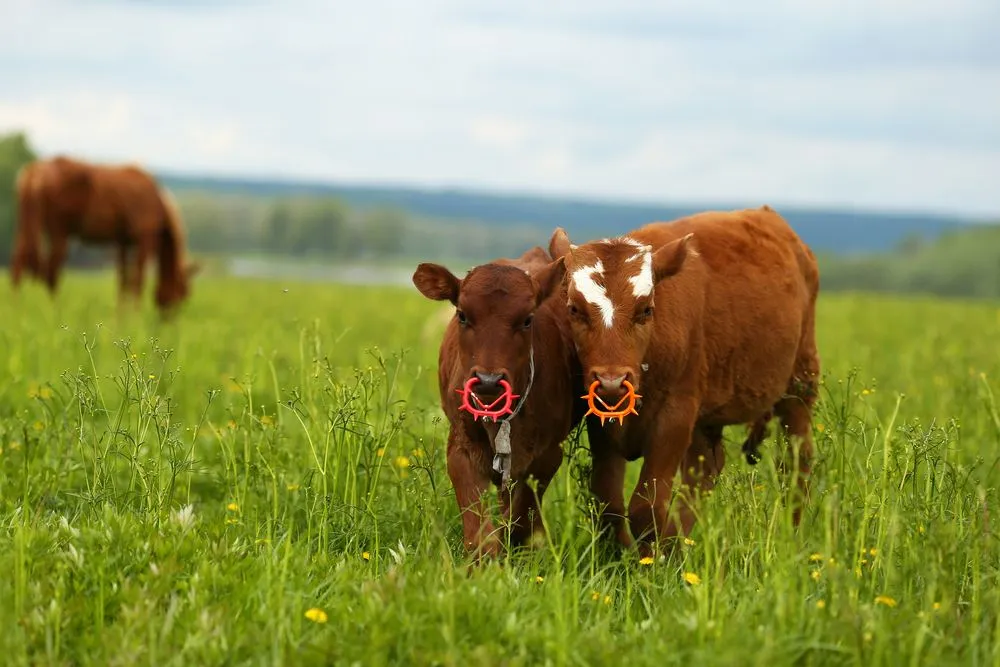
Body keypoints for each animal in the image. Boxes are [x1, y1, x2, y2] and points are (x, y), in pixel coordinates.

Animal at [412, 247, 585, 559]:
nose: (488, 380)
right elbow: (478, 528)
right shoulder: (461, 448)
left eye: (527, 319)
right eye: (462, 315)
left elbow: (521, 516)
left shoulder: (547, 455)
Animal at [548, 206, 821, 555]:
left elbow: (646, 507)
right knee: (705, 472)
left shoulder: (675, 417)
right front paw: (626, 555)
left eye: (646, 310)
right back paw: (680, 545)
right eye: (574, 309)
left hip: (800, 384)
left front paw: (650, 561)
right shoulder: (603, 425)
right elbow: (608, 501)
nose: (612, 381)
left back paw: (791, 534)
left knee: (795, 463)